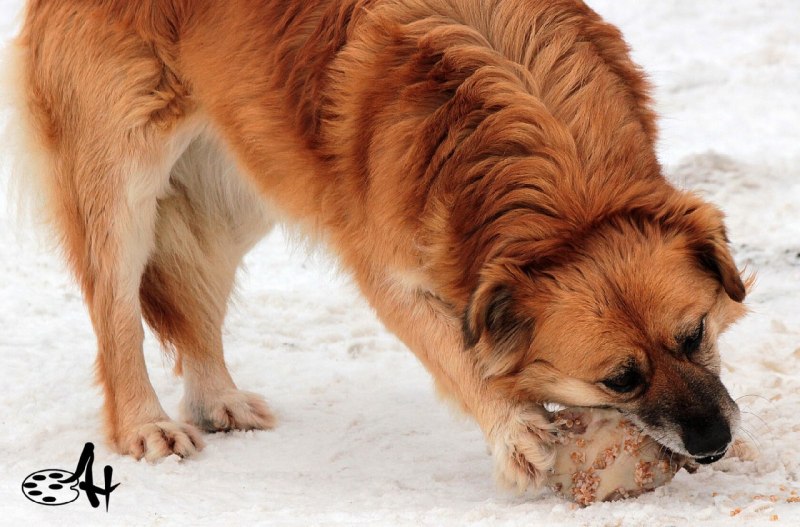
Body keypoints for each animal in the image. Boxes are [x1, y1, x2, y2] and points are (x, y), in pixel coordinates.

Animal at [6, 0, 748, 490]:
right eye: (619, 379)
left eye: (695, 334)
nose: (715, 440)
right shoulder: (388, 268)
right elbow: (458, 353)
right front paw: (515, 431)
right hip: (123, 179)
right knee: (116, 314)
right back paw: (145, 425)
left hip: (240, 181)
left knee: (195, 303)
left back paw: (218, 401)